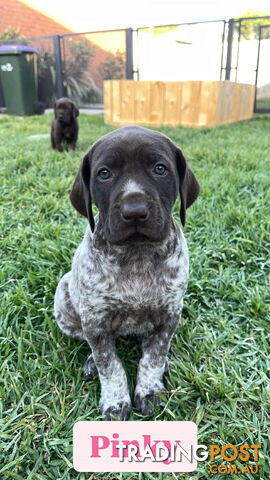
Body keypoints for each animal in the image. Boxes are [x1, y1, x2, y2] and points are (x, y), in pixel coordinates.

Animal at [53, 124, 199, 420]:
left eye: (159, 168)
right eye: (104, 173)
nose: (135, 212)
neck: (136, 256)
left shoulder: (169, 315)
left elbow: (153, 356)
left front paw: (150, 390)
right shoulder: (95, 320)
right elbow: (110, 365)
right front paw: (115, 401)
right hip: (64, 301)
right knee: (89, 343)